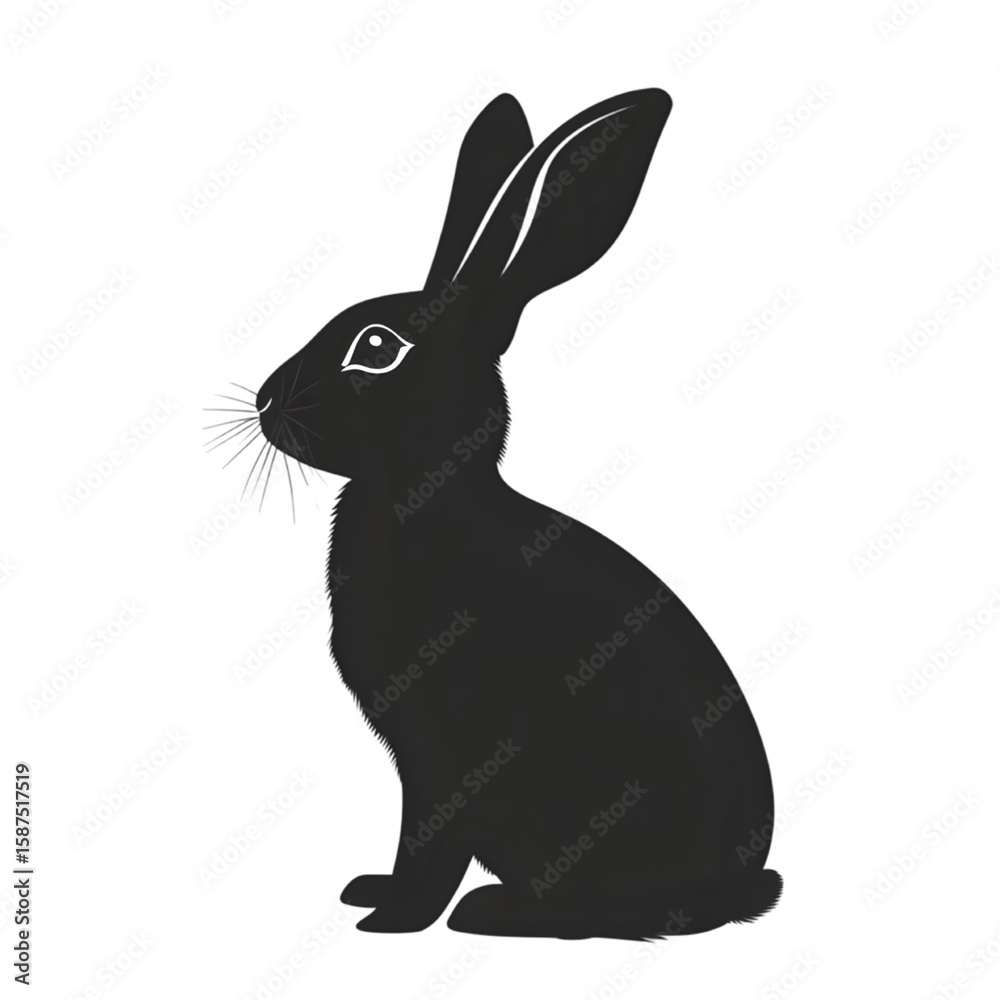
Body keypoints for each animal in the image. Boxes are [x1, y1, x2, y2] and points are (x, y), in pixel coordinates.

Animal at [248, 87, 781, 940]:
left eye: (375, 347)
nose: (266, 400)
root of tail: (743, 883)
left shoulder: (445, 754)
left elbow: (429, 841)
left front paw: (392, 918)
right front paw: (370, 891)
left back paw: (494, 913)